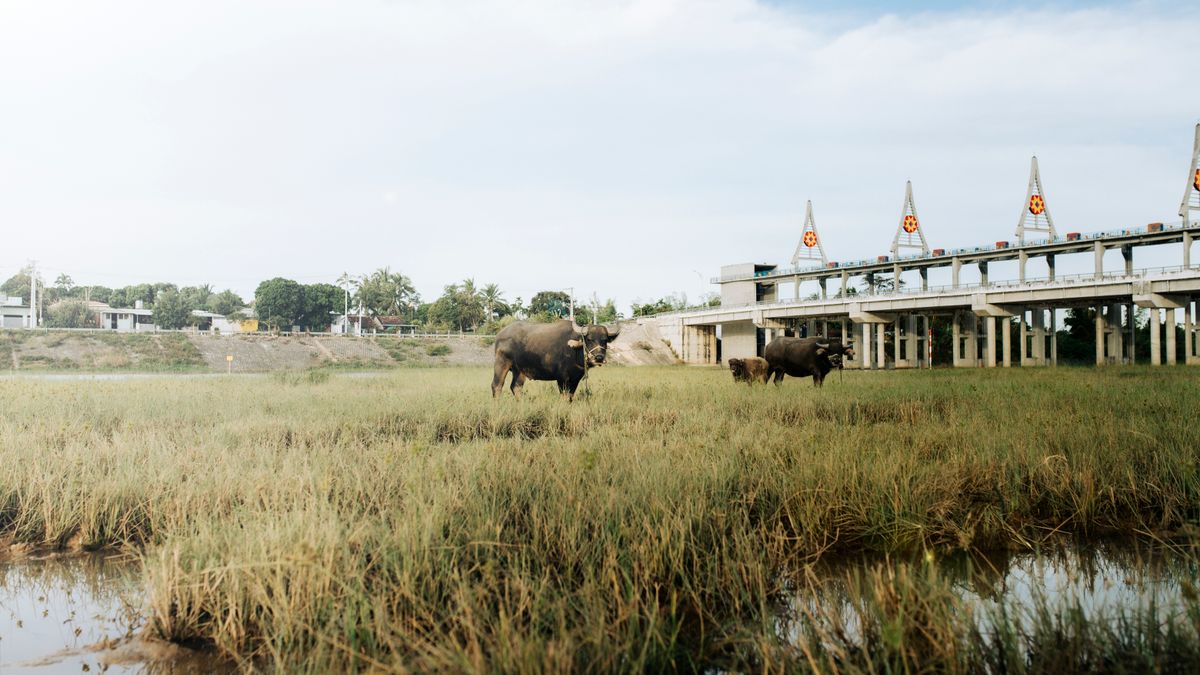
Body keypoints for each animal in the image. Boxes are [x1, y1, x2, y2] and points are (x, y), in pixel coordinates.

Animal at [492, 320, 620, 401]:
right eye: (589, 339)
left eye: (605, 340)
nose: (598, 357)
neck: (573, 350)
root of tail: (500, 334)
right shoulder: (562, 378)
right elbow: (564, 396)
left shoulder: (576, 379)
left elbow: (570, 396)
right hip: (501, 363)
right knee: (497, 385)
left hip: (519, 370)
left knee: (516, 387)